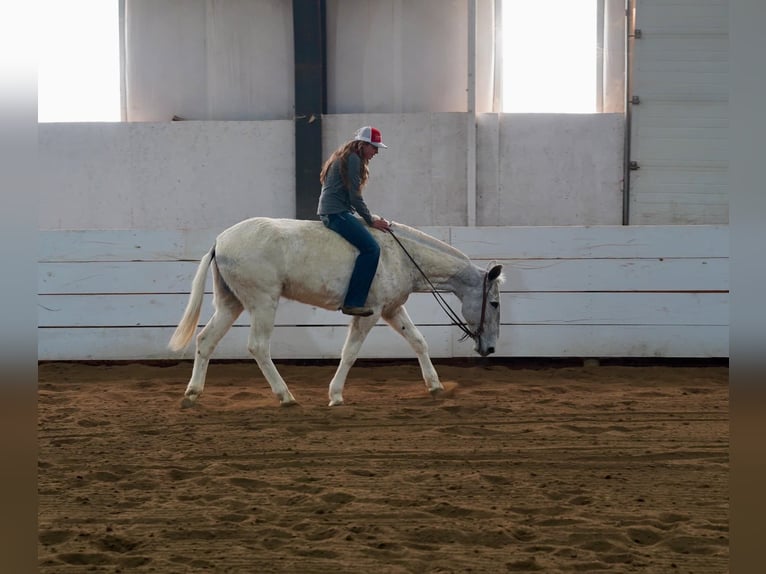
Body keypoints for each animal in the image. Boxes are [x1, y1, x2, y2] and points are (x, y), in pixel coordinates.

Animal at [170, 217, 504, 410]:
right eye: (495, 303)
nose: (489, 348)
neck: (401, 255)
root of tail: (220, 241)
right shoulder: (370, 313)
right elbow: (350, 352)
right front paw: (336, 395)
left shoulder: (393, 309)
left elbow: (418, 341)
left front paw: (435, 386)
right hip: (263, 302)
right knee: (258, 347)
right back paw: (286, 396)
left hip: (231, 304)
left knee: (206, 340)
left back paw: (193, 393)